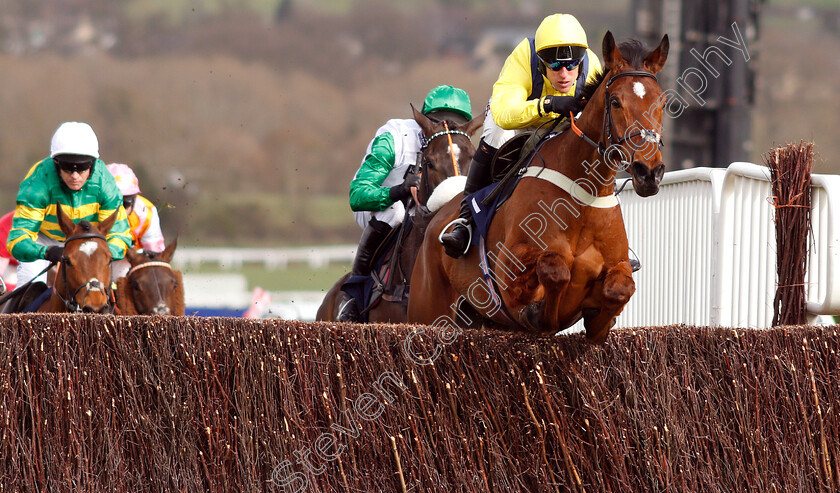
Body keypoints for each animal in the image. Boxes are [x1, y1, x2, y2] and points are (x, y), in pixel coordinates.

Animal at [406, 31, 668, 342]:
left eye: (662, 103)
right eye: (615, 101)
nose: (648, 172)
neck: (584, 196)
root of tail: (435, 220)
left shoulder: (618, 269)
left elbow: (619, 290)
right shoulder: (509, 268)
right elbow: (554, 269)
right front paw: (539, 312)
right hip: (427, 310)